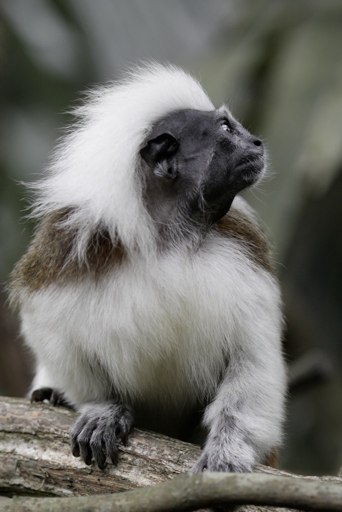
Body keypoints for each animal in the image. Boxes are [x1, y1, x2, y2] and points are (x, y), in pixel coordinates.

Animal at [10, 63, 286, 472]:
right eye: (225, 128)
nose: (256, 144)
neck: (168, 238)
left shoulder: (246, 255)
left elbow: (252, 360)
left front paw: (228, 450)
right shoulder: (66, 251)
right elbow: (52, 333)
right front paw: (103, 410)